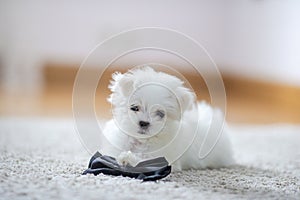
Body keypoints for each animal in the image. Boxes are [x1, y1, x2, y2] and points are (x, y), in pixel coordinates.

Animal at [101, 66, 234, 171]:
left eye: (160, 114)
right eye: (134, 108)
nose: (144, 123)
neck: (141, 141)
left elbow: (146, 161)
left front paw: (127, 159)